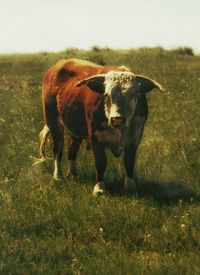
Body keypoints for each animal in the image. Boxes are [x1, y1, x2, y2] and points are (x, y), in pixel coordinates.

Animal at [38, 58, 164, 196]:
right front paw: (99, 187)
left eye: (133, 94)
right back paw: (58, 176)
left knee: (72, 150)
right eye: (107, 94)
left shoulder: (135, 138)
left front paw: (130, 186)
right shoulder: (95, 136)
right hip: (53, 122)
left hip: (74, 129)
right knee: (57, 149)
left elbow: (129, 161)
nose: (117, 119)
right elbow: (101, 162)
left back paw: (72, 174)